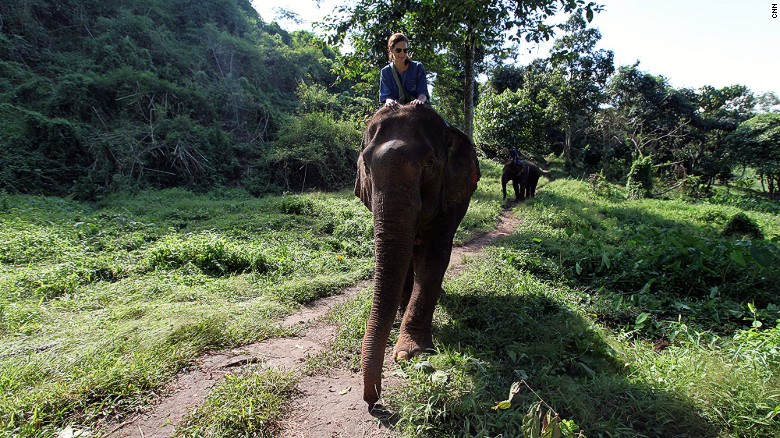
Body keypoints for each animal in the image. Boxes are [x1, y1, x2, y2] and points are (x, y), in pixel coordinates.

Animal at [354, 104, 482, 408]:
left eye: (430, 164)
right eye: (367, 166)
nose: (373, 402)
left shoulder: (450, 195)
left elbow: (434, 257)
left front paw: (411, 353)